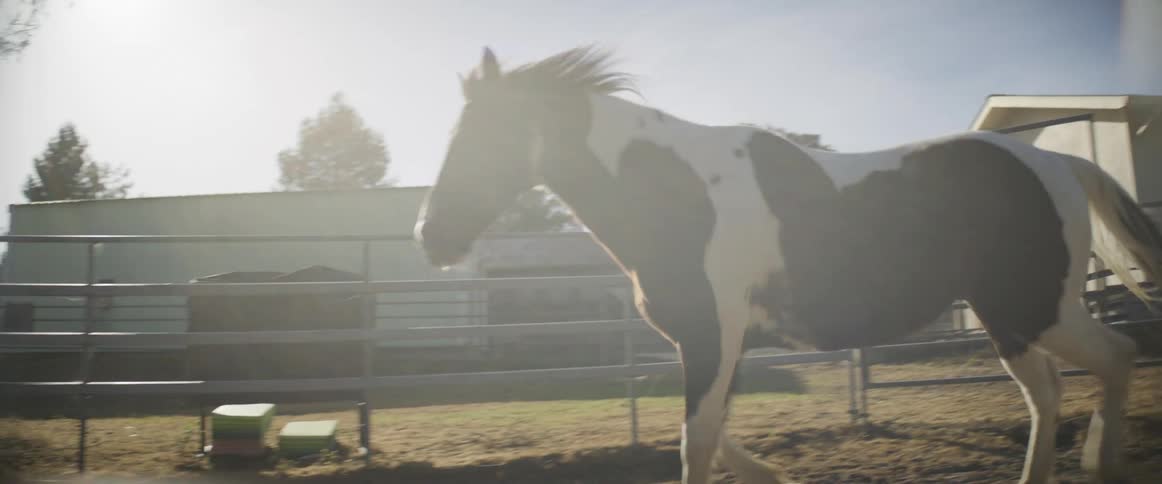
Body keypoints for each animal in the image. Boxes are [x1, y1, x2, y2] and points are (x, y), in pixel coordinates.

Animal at [414, 45, 1162, 484]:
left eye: (484, 138)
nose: (429, 237)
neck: (678, 196)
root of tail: (1057, 161)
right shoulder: (723, 343)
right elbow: (714, 436)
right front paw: (774, 475)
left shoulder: (711, 338)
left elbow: (696, 442)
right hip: (1011, 318)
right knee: (1050, 391)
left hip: (1034, 308)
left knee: (1115, 357)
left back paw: (1100, 462)